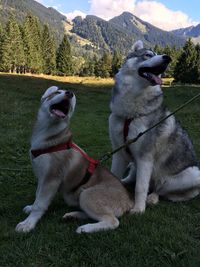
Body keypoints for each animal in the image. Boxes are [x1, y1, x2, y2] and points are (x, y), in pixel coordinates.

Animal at [15, 86, 134, 234]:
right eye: (56, 92)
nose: (69, 93)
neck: (48, 136)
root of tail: (129, 200)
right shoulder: (42, 177)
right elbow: (38, 195)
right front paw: (31, 208)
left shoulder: (51, 178)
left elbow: (40, 203)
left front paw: (28, 223)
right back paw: (73, 216)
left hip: (86, 194)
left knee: (113, 221)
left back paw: (86, 228)